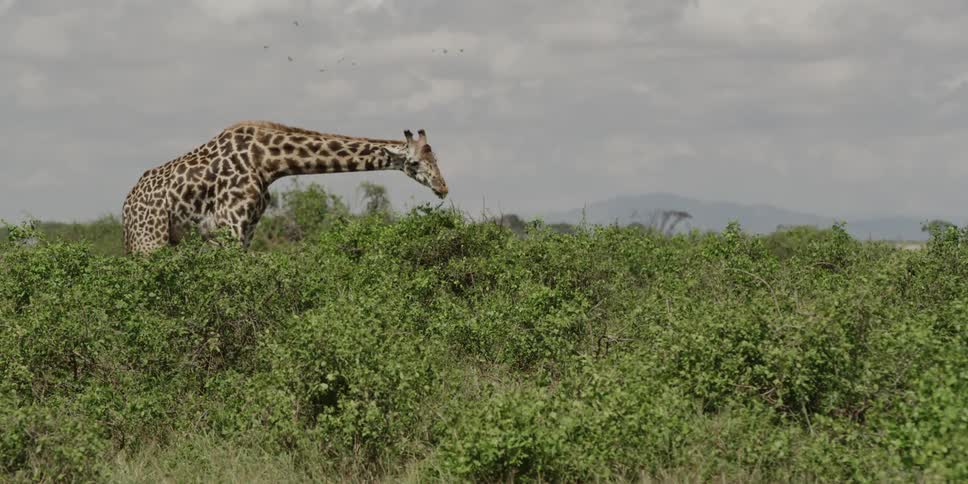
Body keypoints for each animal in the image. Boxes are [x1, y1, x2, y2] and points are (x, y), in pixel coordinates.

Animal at [121, 120, 448, 254]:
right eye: (415, 163)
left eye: (436, 158)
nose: (443, 188)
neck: (267, 161)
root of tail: (126, 207)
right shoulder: (228, 224)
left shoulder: (248, 226)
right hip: (149, 240)